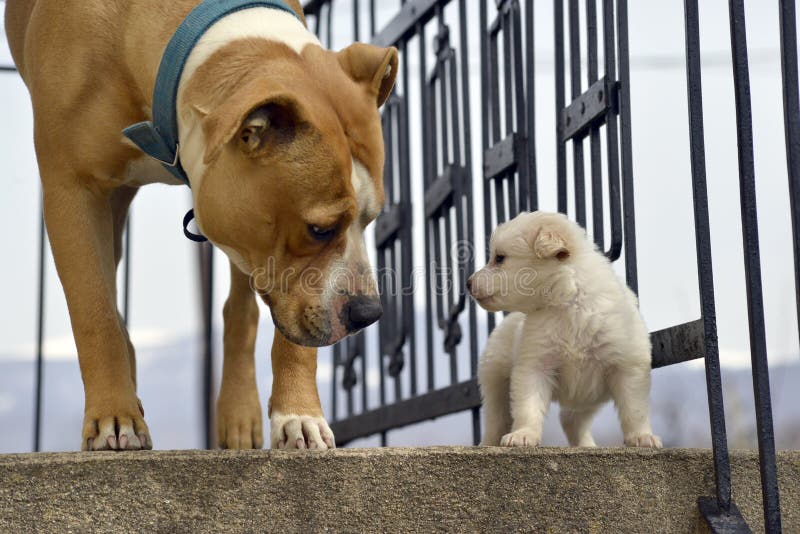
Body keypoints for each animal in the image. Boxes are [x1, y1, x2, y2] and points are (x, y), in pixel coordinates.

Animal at [3, 0, 396, 452]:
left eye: (370, 220)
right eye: (320, 229)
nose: (369, 312)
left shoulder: (250, 229)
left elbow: (272, 325)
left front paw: (299, 416)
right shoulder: (72, 190)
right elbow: (95, 312)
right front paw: (113, 417)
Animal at [466, 211, 660, 450]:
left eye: (500, 258)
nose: (467, 283)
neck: (567, 302)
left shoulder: (627, 365)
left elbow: (634, 409)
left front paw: (642, 437)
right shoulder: (534, 365)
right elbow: (528, 406)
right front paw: (523, 435)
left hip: (589, 396)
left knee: (571, 419)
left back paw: (586, 445)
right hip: (494, 377)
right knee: (496, 418)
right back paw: (487, 443)